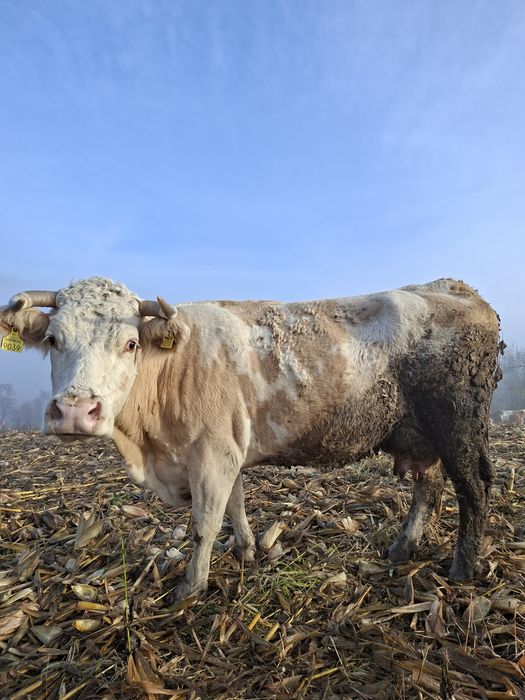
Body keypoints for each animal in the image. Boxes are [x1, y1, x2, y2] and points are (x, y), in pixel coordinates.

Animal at [0, 277, 502, 598]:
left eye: (130, 343)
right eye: (52, 340)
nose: (74, 411)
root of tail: (457, 287)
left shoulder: (212, 452)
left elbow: (205, 522)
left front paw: (190, 587)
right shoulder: (226, 449)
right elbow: (235, 503)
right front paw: (245, 550)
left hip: (457, 426)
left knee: (473, 490)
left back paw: (462, 567)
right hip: (422, 437)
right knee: (428, 487)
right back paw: (402, 547)